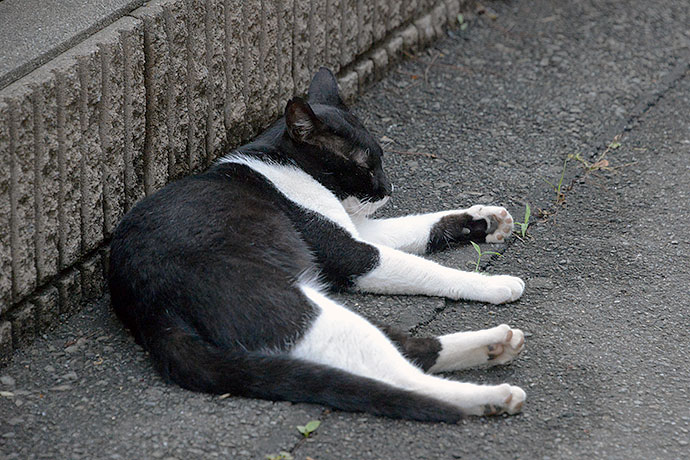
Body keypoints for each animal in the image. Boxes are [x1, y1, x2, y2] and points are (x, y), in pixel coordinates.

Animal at [107, 66, 524, 422]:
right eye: (365, 166)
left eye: (382, 159)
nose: (388, 188)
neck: (282, 161)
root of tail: (152, 314)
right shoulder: (353, 253)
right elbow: (427, 268)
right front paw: (494, 282)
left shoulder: (357, 228)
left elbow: (420, 226)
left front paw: (486, 219)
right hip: (299, 309)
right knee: (400, 377)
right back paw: (492, 396)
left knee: (405, 350)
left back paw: (495, 345)